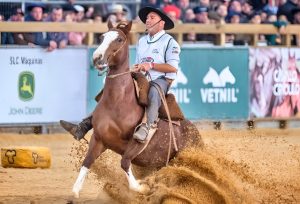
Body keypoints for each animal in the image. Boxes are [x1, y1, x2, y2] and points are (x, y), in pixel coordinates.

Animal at [71, 20, 203, 198]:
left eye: (119, 39)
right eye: (102, 37)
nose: (97, 58)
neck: (118, 102)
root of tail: (195, 132)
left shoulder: (138, 144)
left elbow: (124, 163)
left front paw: (143, 188)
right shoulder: (98, 139)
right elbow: (87, 162)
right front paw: (75, 191)